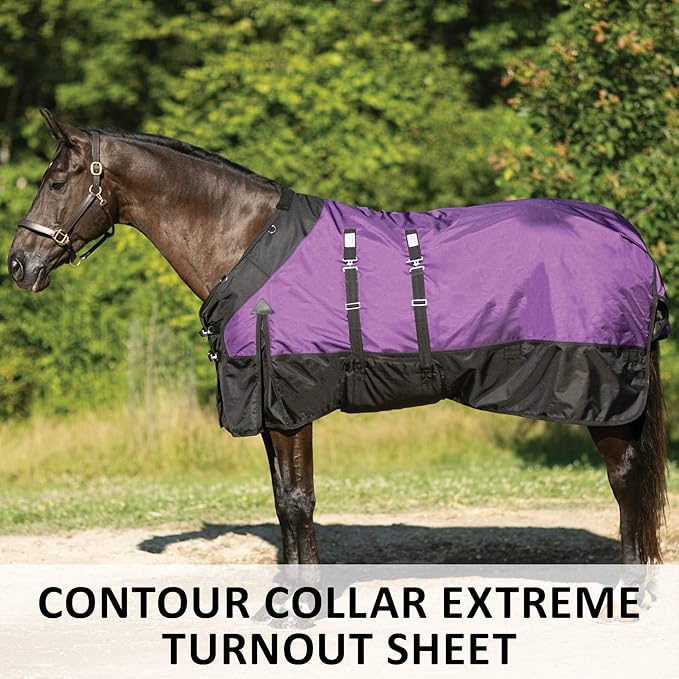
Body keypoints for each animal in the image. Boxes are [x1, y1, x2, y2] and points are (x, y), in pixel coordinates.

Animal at [7, 110, 669, 565]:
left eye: (57, 181)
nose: (18, 264)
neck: (246, 242)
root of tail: (631, 237)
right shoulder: (270, 407)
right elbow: (283, 502)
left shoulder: (290, 401)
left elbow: (299, 502)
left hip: (603, 395)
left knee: (626, 482)